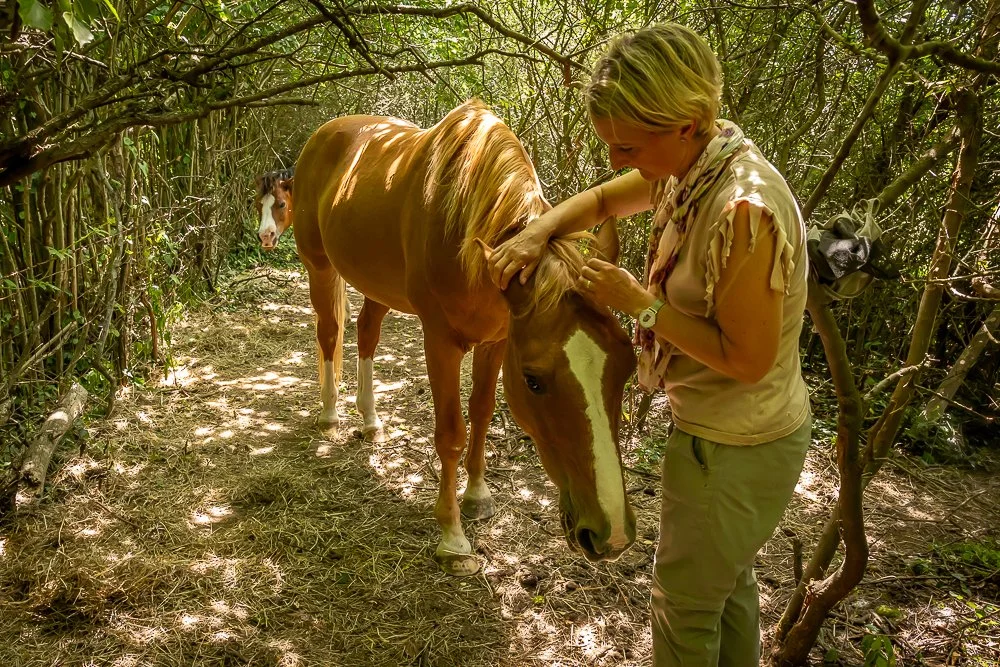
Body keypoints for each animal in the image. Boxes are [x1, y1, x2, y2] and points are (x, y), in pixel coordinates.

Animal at [272, 99, 637, 576]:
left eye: (627, 366)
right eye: (535, 381)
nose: (612, 535)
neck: (464, 222)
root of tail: (324, 134)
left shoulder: (499, 341)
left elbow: (481, 412)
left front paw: (478, 495)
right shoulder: (440, 341)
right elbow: (450, 432)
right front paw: (452, 537)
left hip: (377, 284)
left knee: (367, 332)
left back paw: (370, 421)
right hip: (318, 266)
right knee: (329, 333)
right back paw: (331, 414)